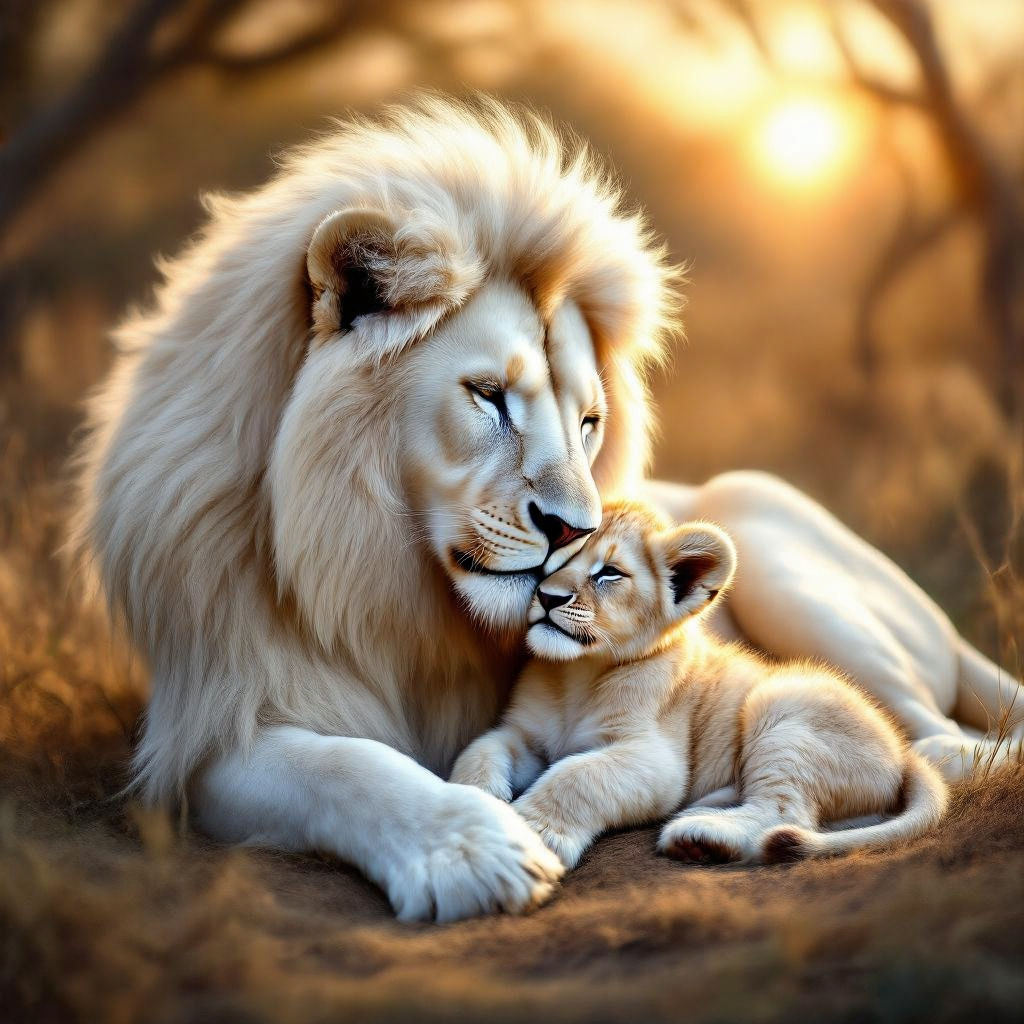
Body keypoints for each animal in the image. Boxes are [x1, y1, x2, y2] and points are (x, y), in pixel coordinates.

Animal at [451, 500, 948, 871]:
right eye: (550, 561)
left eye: (608, 573)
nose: (548, 596)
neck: (577, 674)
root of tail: (902, 749)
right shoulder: (524, 735)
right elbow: (478, 750)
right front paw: (478, 802)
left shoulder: (654, 759)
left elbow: (577, 775)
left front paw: (532, 832)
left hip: (783, 707)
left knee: (785, 812)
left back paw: (702, 834)